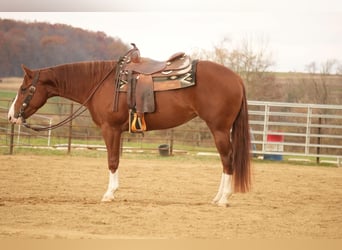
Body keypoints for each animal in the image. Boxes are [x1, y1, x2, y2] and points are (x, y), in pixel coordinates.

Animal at [6, 49, 250, 206]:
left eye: (24, 88)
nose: (10, 116)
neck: (101, 83)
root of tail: (237, 78)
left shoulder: (110, 129)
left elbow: (112, 161)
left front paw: (109, 194)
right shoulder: (117, 131)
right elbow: (117, 160)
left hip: (219, 129)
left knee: (227, 160)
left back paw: (223, 199)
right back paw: (217, 197)